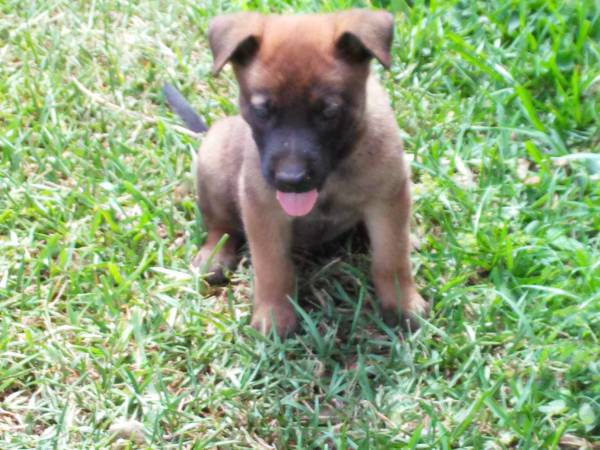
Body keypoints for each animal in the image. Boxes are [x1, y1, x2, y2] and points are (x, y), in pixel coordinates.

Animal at [164, 9, 432, 338]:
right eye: (262, 111)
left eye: (329, 112)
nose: (290, 180)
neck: (332, 178)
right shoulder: (262, 209)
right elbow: (272, 268)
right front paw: (274, 314)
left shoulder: (388, 198)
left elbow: (392, 257)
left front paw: (402, 302)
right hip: (212, 163)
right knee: (221, 226)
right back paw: (214, 255)